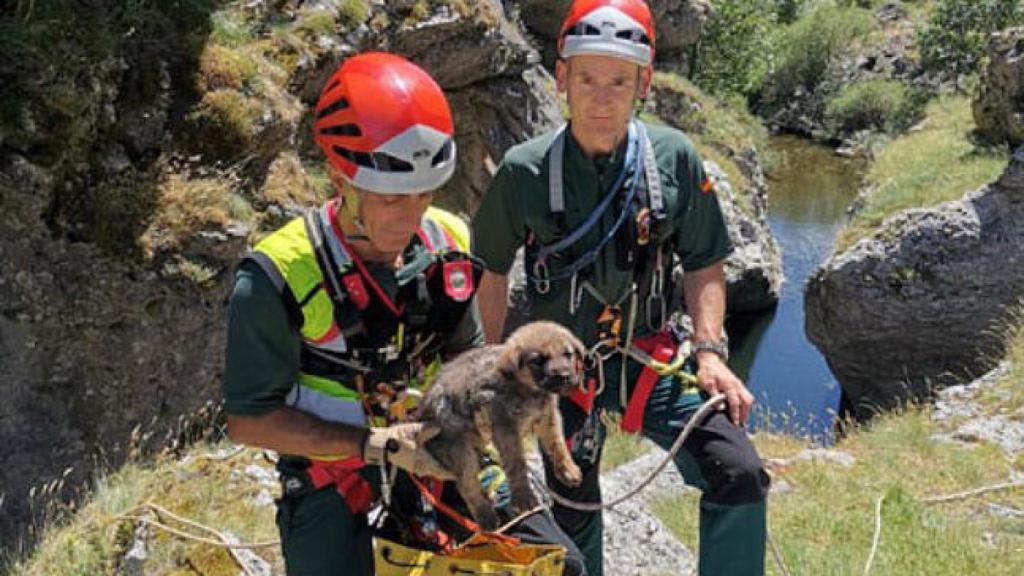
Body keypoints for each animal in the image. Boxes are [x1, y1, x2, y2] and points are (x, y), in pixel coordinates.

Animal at [417, 319, 585, 528]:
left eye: (567, 354)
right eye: (537, 361)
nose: (564, 377)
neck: (528, 390)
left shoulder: (548, 418)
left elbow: (557, 444)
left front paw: (568, 469)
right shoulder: (505, 428)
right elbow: (516, 464)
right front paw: (524, 496)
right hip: (460, 449)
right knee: (467, 484)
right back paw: (486, 516)